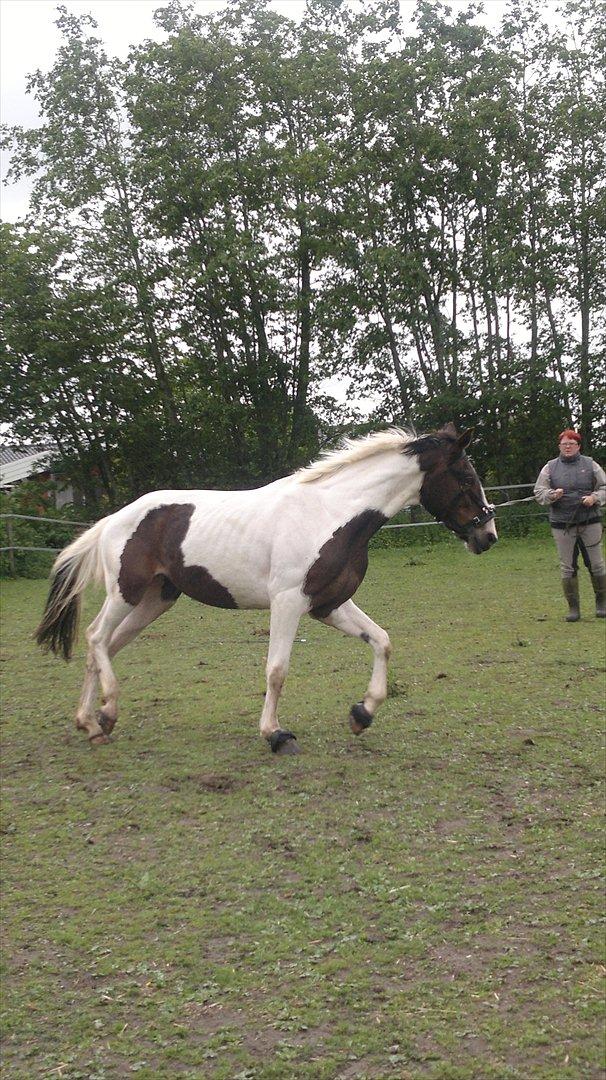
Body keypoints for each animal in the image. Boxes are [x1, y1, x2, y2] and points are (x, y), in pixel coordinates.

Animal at [34, 421, 496, 751]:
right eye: (465, 477)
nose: (487, 535)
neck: (330, 513)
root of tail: (113, 519)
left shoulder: (328, 604)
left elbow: (381, 641)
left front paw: (361, 714)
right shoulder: (288, 602)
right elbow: (277, 670)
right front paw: (275, 734)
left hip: (155, 600)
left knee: (104, 649)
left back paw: (93, 723)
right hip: (125, 592)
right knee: (96, 638)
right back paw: (106, 711)